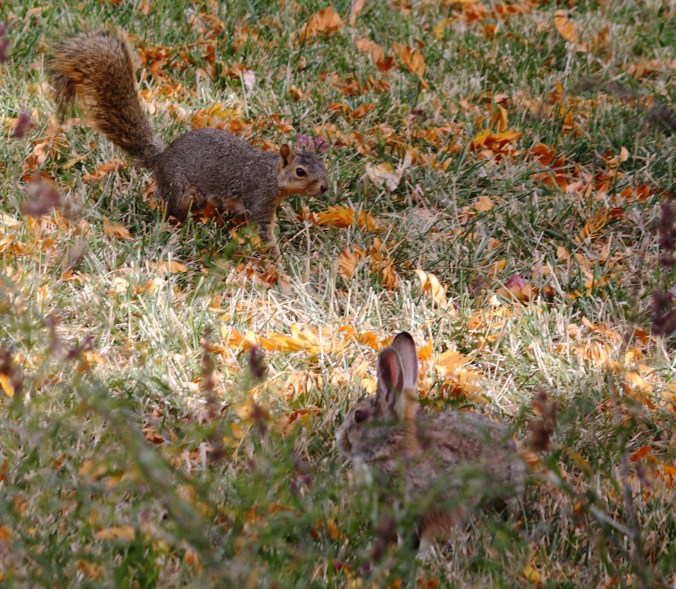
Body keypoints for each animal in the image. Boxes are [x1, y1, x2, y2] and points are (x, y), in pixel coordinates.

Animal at [46, 30, 329, 256]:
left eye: (322, 165)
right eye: (300, 172)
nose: (325, 187)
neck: (272, 174)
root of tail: (162, 158)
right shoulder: (259, 196)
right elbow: (263, 230)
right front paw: (278, 259)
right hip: (180, 190)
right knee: (173, 212)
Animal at [335, 331, 527, 560]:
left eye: (358, 416)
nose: (339, 438)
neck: (392, 453)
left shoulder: (443, 508)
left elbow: (434, 534)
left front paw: (422, 558)